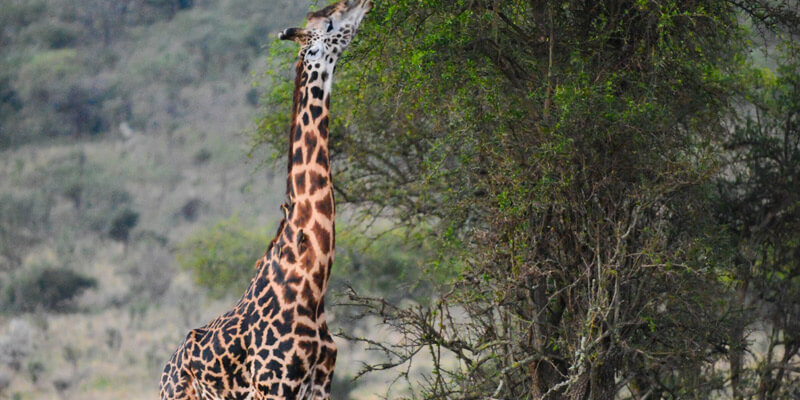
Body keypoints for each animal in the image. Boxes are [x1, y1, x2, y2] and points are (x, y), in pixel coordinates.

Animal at [159, 1, 372, 398]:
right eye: (330, 22)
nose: (363, 4)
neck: (311, 279)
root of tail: (166, 370)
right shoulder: (275, 383)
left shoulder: (320, 384)